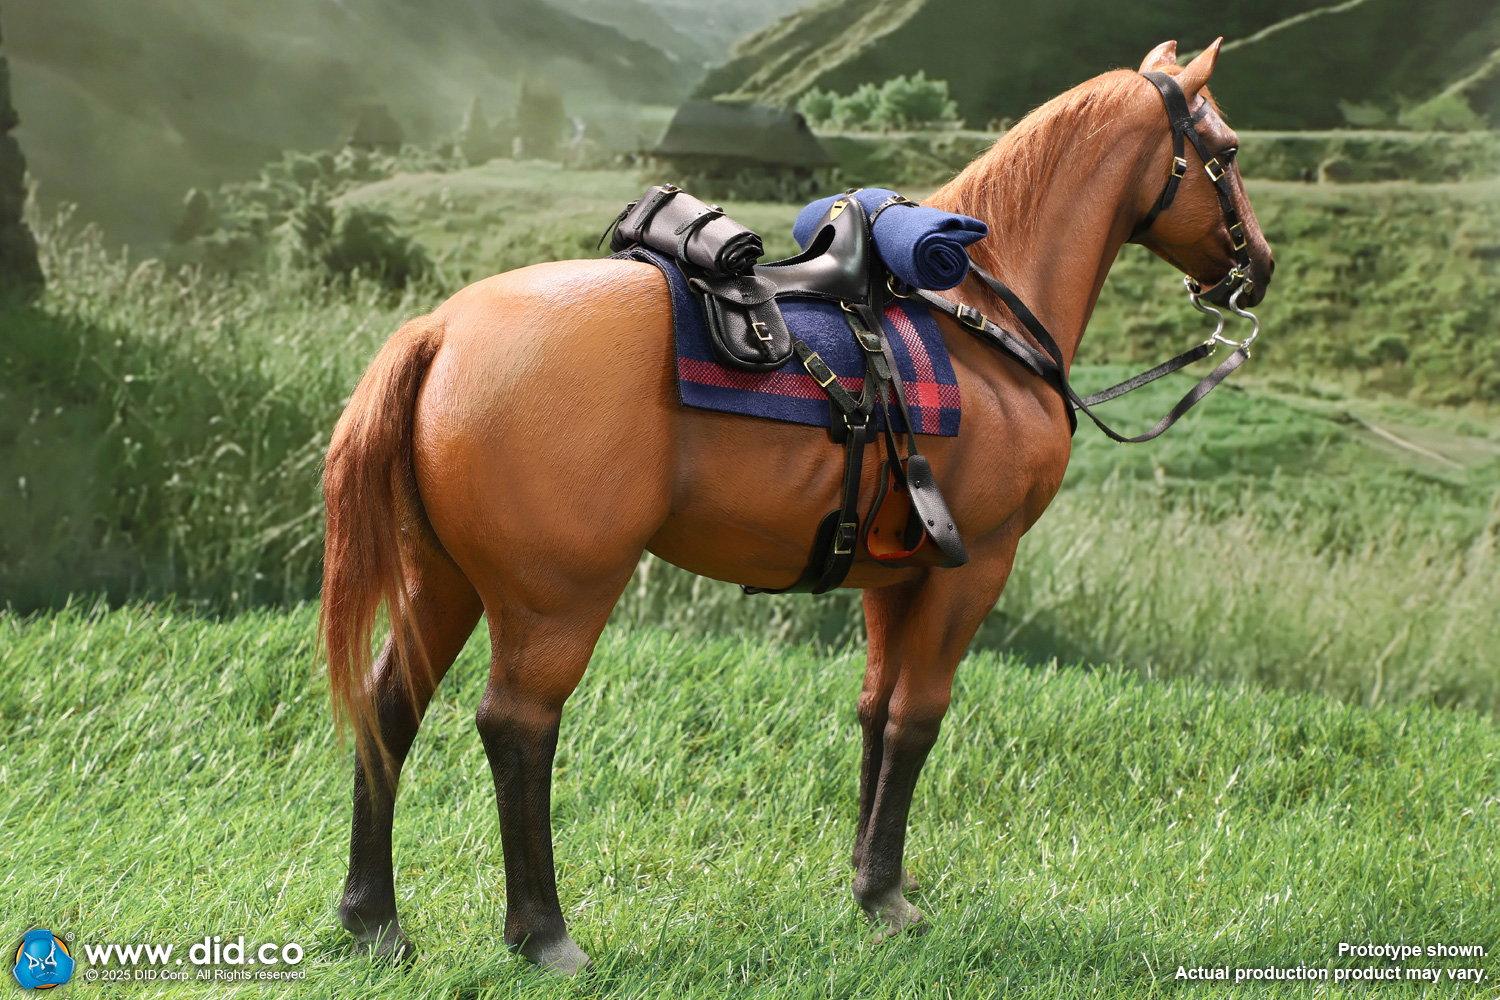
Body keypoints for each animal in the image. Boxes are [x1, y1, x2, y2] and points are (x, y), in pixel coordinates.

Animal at [321, 39, 1274, 973]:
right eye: (1226, 153)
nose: (1258, 268)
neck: (980, 317)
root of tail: (443, 328)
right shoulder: (972, 570)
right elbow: (918, 718)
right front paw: (887, 898)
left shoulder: (899, 574)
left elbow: (877, 712)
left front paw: (869, 877)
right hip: (555, 598)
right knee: (517, 725)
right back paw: (542, 934)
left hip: (440, 579)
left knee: (388, 707)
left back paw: (375, 922)